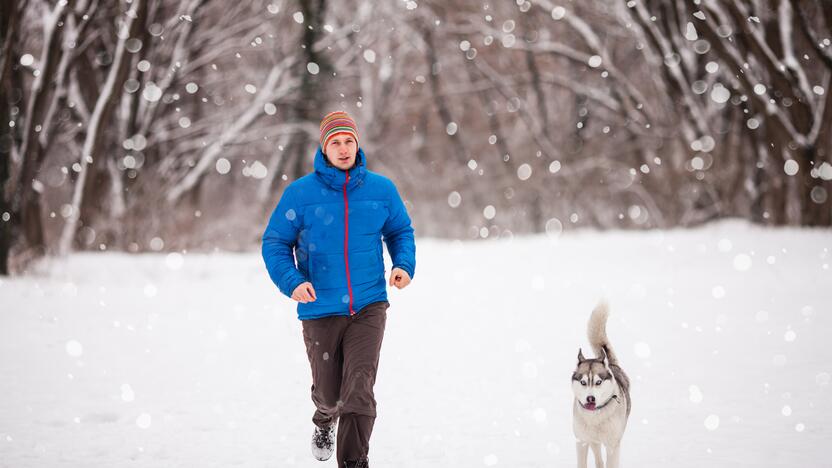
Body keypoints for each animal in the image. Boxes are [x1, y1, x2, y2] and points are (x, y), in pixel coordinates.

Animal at [572, 304, 632, 468]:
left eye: (598, 382)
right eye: (583, 382)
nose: (590, 399)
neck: (596, 416)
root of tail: (611, 364)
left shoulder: (613, 446)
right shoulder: (581, 441)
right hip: (593, 441)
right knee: (599, 459)